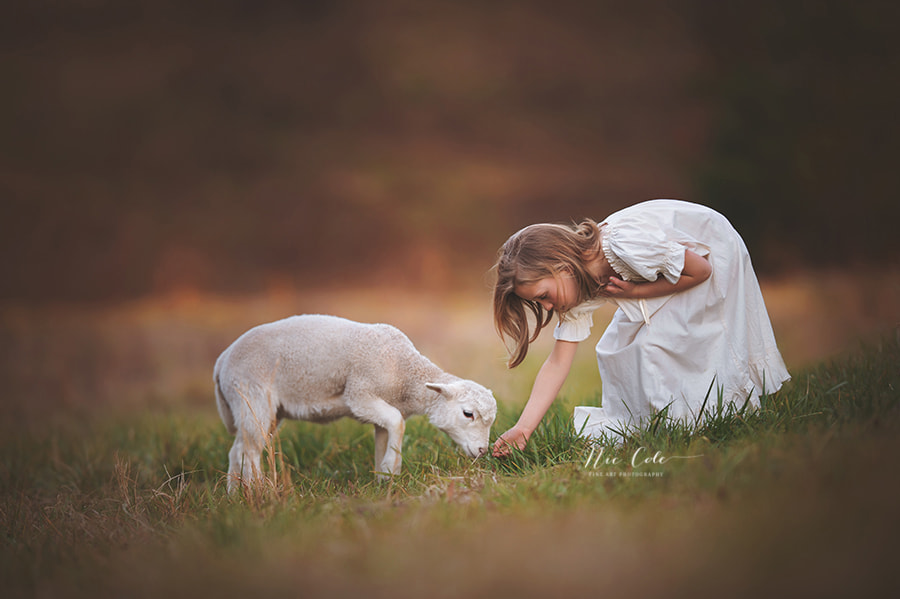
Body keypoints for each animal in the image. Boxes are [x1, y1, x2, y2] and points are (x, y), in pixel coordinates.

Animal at [214, 314, 496, 492]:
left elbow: (386, 435)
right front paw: (391, 469)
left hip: (258, 409)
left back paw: (236, 494)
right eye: (468, 413)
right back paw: (259, 490)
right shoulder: (359, 394)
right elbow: (397, 422)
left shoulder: (382, 408)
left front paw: (384, 478)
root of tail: (222, 361)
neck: (404, 371)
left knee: (237, 450)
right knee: (249, 451)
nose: (483, 451)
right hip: (251, 395)